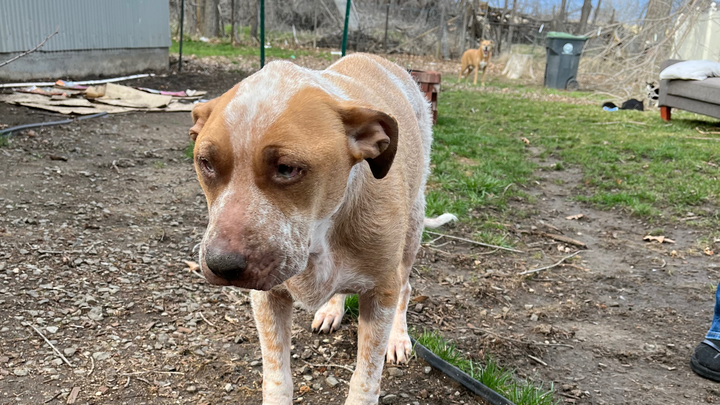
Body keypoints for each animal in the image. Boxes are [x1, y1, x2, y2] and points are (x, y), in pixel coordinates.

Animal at [188, 53, 455, 404]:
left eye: (287, 168)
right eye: (205, 163)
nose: (220, 266)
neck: (320, 236)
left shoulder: (381, 294)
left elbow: (365, 382)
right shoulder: (268, 298)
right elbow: (277, 379)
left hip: (412, 229)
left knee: (407, 287)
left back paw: (398, 338)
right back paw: (331, 309)